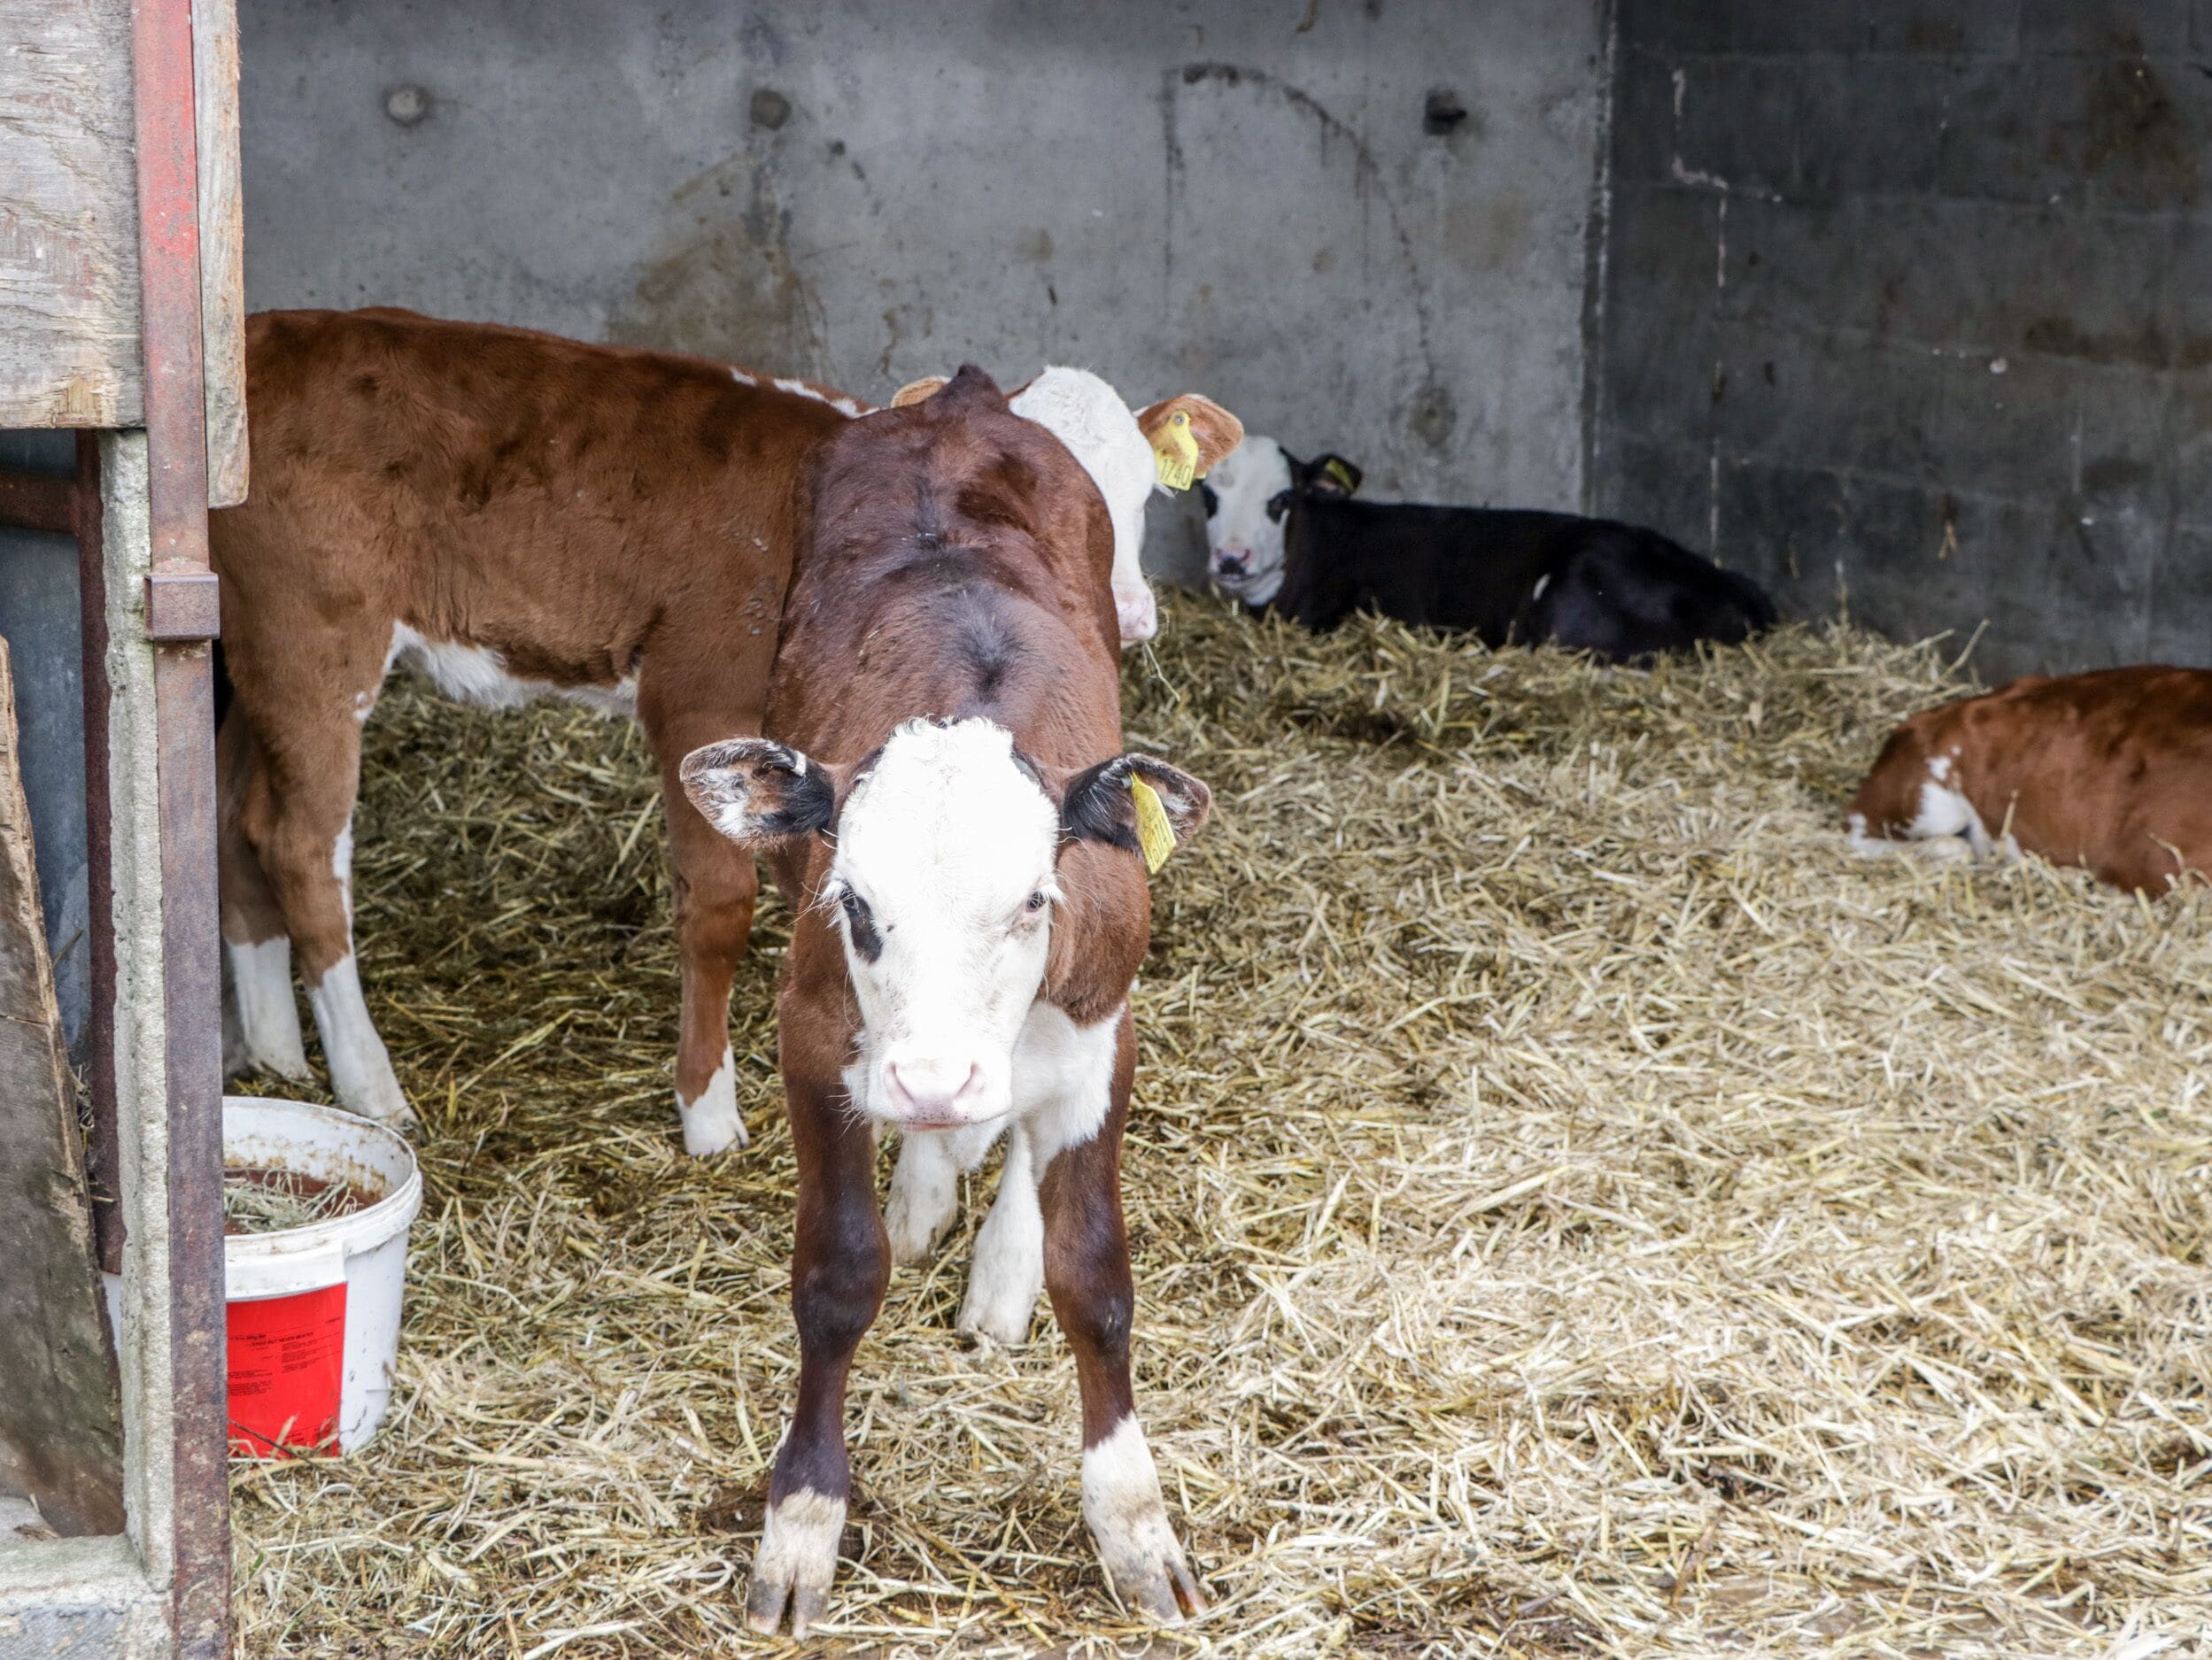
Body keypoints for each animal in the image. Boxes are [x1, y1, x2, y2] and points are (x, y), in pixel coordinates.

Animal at [210, 308, 1236, 1148]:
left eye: (1137, 497)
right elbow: (716, 910)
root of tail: (261, 334)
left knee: (234, 818)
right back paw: (368, 1084)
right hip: (315, 642)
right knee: (304, 845)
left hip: (245, 660)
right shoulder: (694, 697)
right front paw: (707, 1109)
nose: (1130, 613)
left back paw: (273, 1050)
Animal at [678, 365, 1212, 1635]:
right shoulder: (815, 1033)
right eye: (857, 903)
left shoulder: (1102, 1032)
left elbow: (1096, 1280)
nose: (930, 1077)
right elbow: (836, 1277)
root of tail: (960, 399)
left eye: (1033, 900)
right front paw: (801, 1523)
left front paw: (1133, 1520)